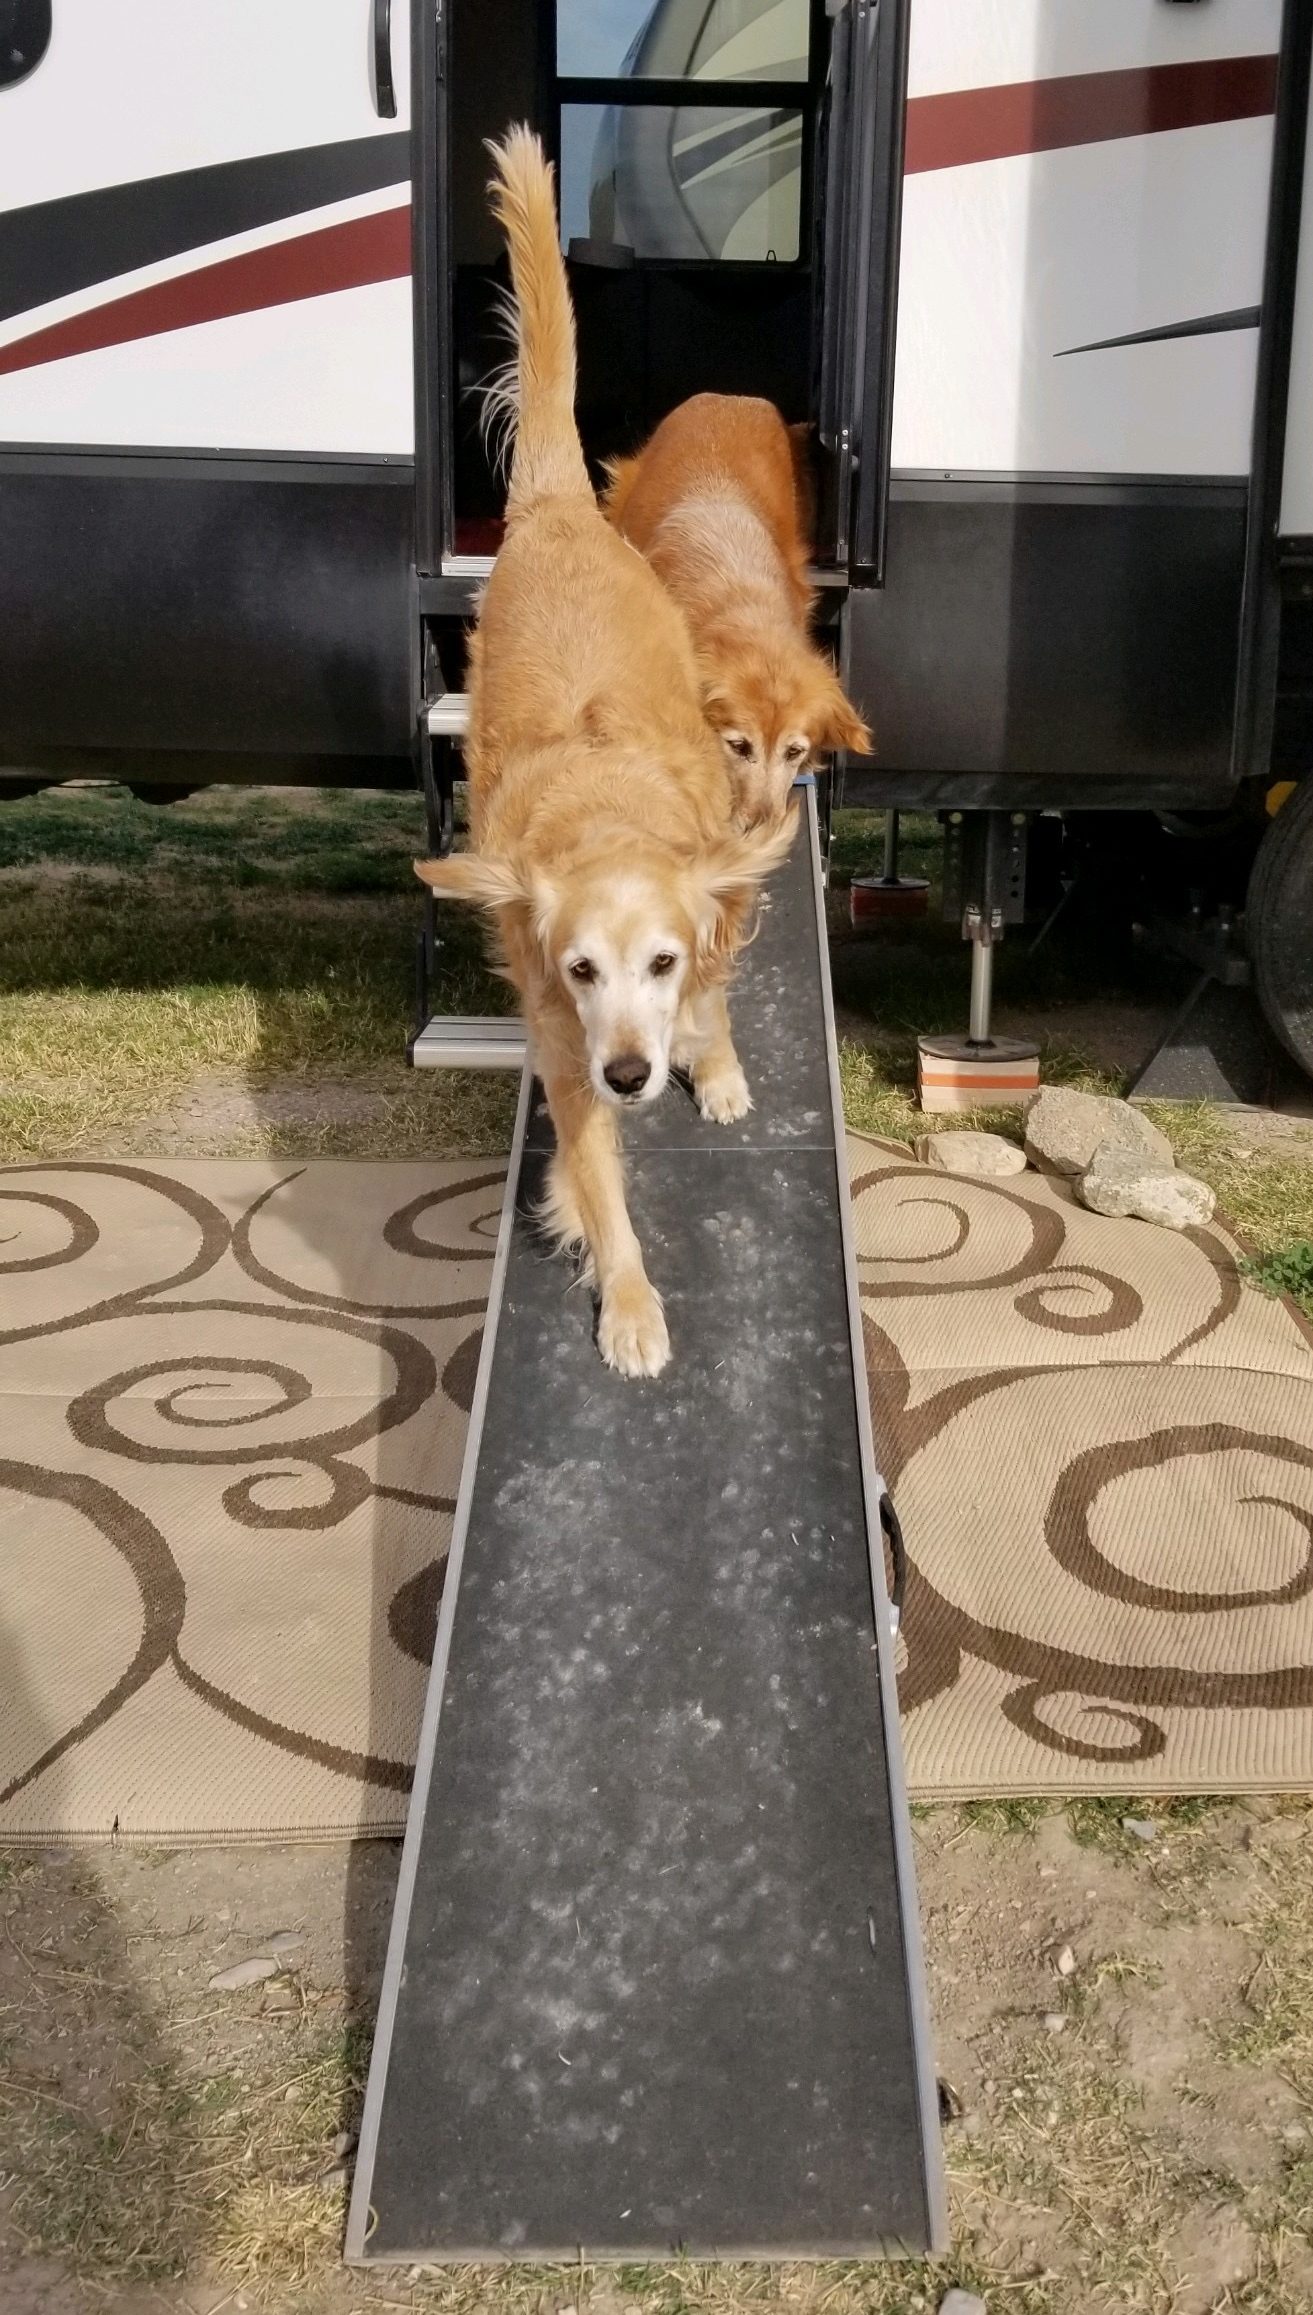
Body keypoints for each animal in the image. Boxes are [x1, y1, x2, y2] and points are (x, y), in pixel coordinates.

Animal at [416, 135, 796, 1370]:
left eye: (660, 961)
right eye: (580, 968)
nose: (632, 1070)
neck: (604, 812)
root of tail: (554, 510)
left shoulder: (713, 898)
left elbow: (717, 998)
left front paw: (712, 1067)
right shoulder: (560, 1043)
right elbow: (595, 1178)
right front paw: (628, 1300)